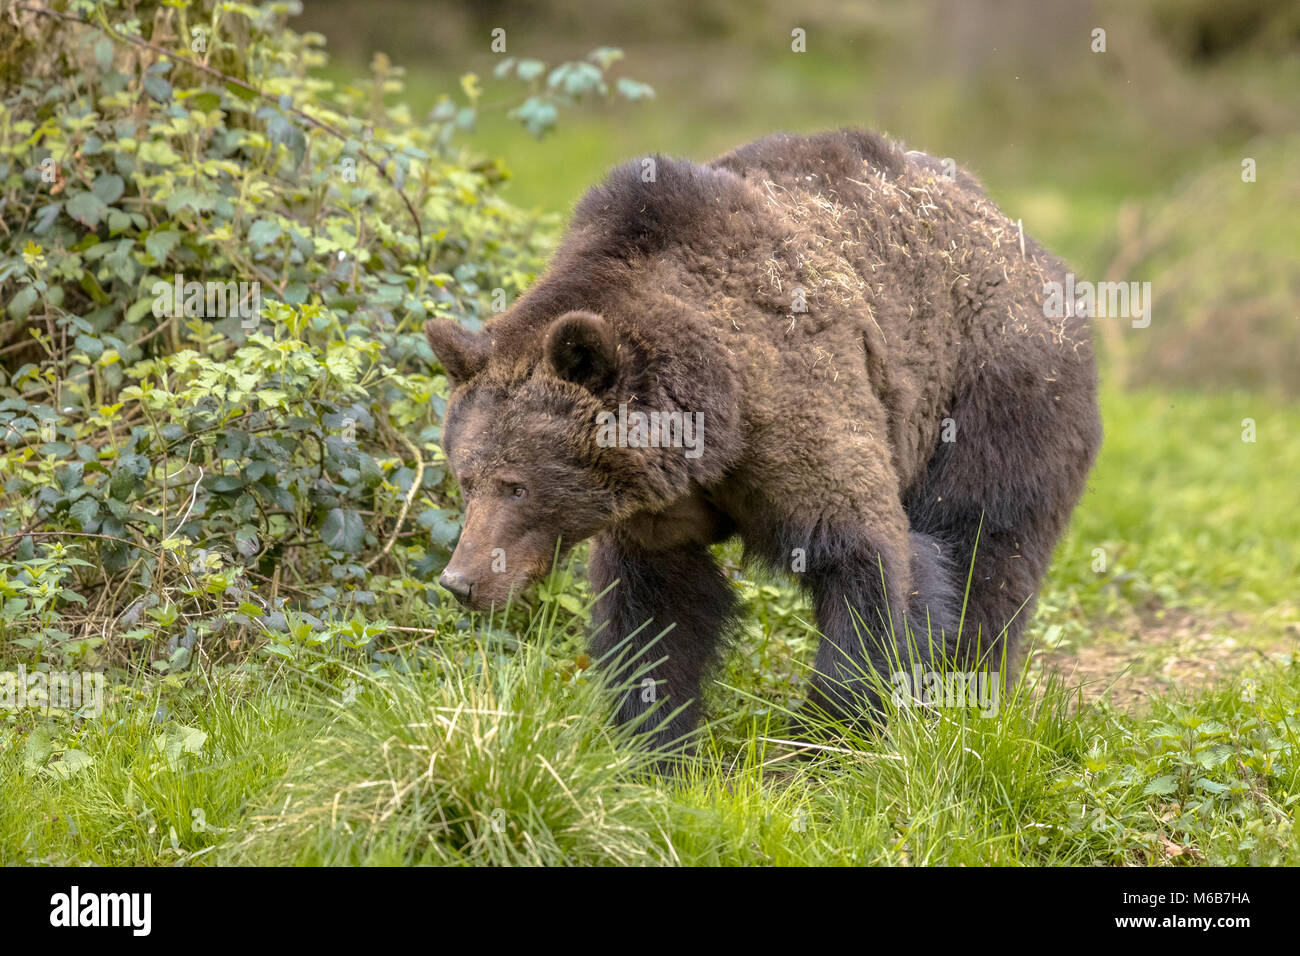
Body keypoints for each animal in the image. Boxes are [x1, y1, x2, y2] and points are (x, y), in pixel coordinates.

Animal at [424, 128, 1101, 751]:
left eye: (517, 485)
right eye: (465, 479)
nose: (460, 581)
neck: (714, 423)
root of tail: (1030, 247)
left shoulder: (804, 412)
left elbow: (870, 563)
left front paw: (830, 735)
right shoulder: (661, 507)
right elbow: (659, 613)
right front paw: (658, 744)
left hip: (994, 387)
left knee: (985, 540)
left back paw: (968, 690)